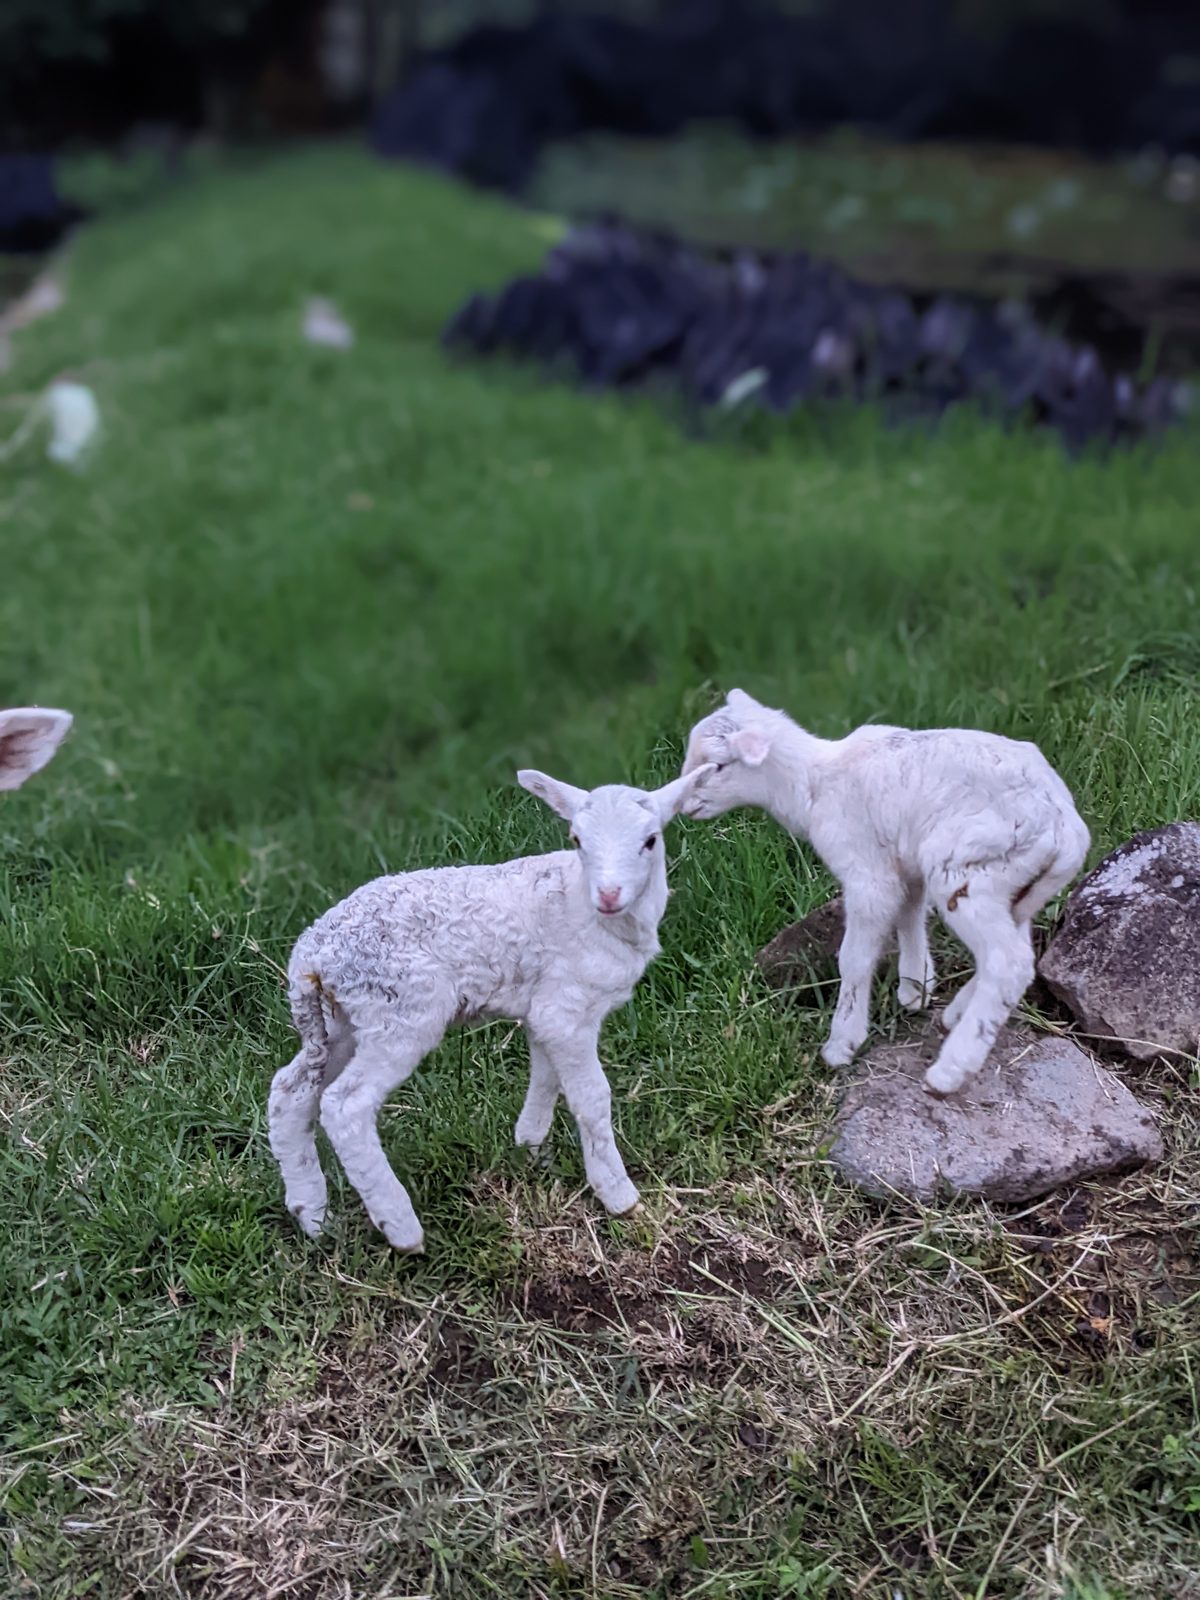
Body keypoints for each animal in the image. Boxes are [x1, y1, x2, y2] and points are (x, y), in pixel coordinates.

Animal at [268, 762, 715, 1252]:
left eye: (651, 840)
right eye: (577, 839)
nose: (610, 894)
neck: (582, 902)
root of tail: (311, 954)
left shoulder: (546, 1007)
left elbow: (546, 1076)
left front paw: (531, 1147)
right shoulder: (568, 1007)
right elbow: (592, 1097)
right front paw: (619, 1196)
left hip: (340, 1020)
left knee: (290, 1091)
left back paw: (313, 1216)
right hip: (401, 1010)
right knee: (344, 1105)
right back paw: (401, 1228)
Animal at [681, 688, 1090, 1095]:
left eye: (717, 765)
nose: (682, 805)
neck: (814, 783)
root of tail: (1066, 828)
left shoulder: (868, 876)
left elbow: (854, 959)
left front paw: (842, 1043)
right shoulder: (903, 865)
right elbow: (909, 915)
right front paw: (916, 987)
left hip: (968, 870)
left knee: (1009, 962)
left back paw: (951, 1069)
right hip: (1015, 882)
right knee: (1015, 950)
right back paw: (958, 1012)